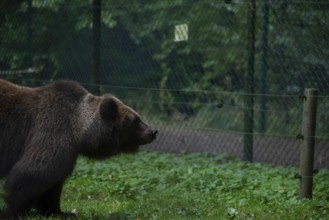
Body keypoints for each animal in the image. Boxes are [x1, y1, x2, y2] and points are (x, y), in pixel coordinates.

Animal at [0, 78, 157, 217]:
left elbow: (53, 184)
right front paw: (14, 210)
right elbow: (34, 171)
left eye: (138, 116)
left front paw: (61, 212)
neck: (79, 132)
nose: (153, 131)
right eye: (135, 120)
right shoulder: (52, 131)